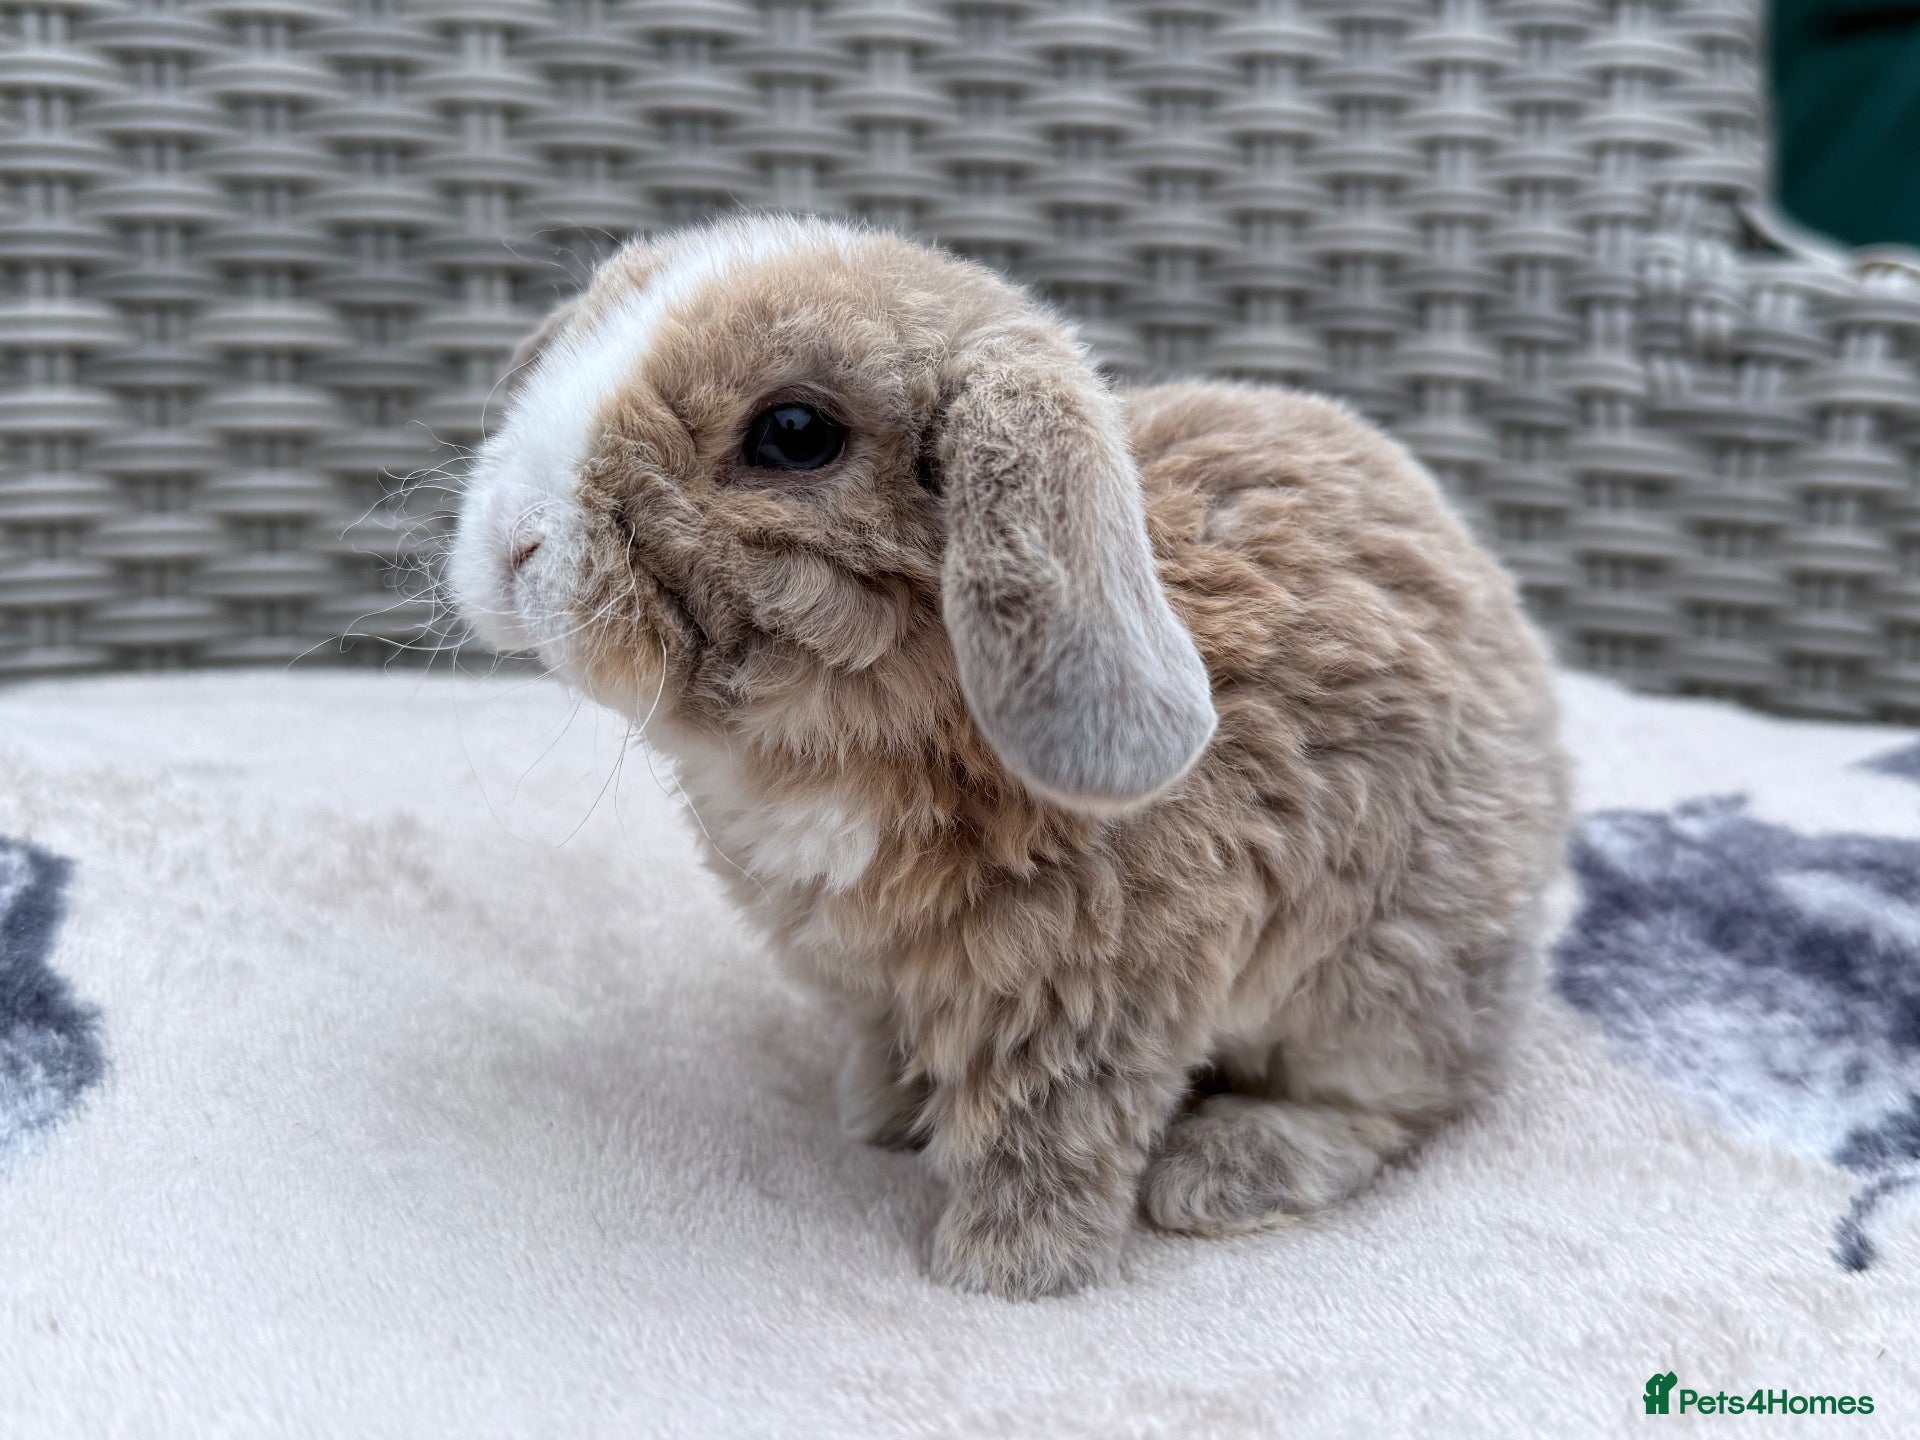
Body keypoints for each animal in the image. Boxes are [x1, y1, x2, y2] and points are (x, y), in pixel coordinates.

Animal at [451, 214, 1572, 1300]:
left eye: (794, 433)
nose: (514, 543)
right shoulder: (884, 979)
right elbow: (897, 1042)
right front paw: (880, 1114)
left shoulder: (1091, 994)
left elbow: (1047, 1136)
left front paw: (1002, 1273)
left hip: (1380, 981)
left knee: (1399, 1107)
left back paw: (1222, 1170)